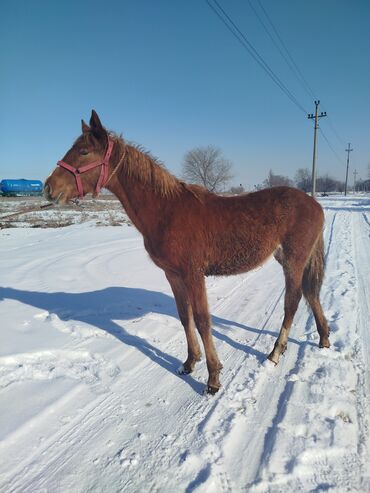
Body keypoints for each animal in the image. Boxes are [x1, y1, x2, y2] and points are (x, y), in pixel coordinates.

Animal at [44, 110, 330, 392]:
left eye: (83, 152)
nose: (48, 188)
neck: (167, 210)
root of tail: (314, 204)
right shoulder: (173, 275)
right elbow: (185, 316)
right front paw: (190, 362)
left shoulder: (194, 274)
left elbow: (203, 321)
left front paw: (213, 378)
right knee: (310, 293)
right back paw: (324, 338)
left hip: (293, 261)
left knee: (292, 301)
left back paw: (275, 352)